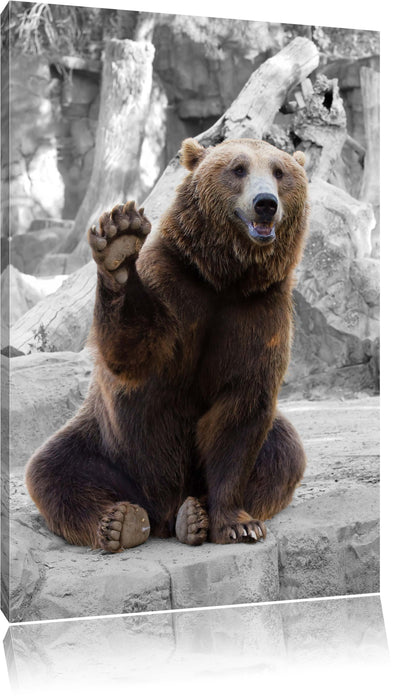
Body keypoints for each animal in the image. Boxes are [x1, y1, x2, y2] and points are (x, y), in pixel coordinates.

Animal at [26, 137, 309, 553]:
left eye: (279, 171)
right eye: (238, 168)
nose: (265, 203)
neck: (225, 277)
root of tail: (160, 509)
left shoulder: (259, 311)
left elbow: (240, 411)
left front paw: (237, 525)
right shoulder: (174, 283)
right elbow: (134, 352)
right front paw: (120, 242)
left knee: (283, 454)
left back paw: (193, 515)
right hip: (108, 446)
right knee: (53, 470)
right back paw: (121, 522)